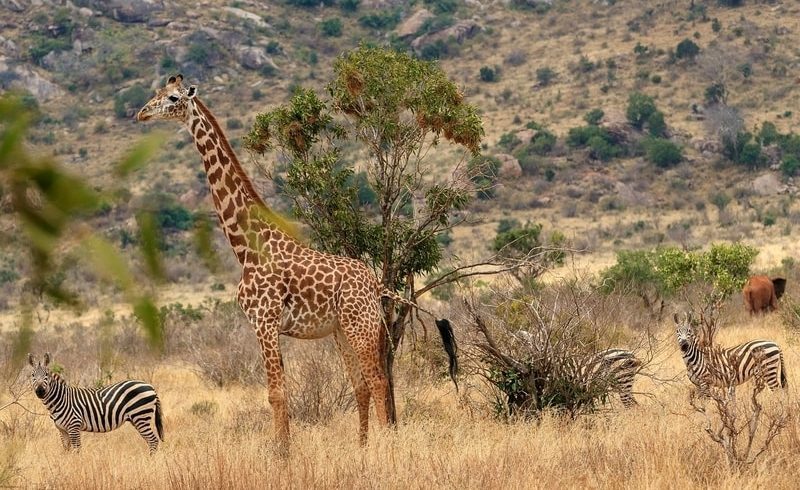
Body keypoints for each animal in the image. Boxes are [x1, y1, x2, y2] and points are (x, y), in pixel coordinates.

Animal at [27, 352, 164, 452]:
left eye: (46, 375)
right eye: (33, 375)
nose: (40, 391)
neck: (60, 399)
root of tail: (151, 386)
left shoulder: (74, 426)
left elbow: (77, 450)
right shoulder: (62, 430)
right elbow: (66, 450)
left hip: (141, 416)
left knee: (153, 440)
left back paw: (151, 463)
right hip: (137, 419)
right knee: (150, 441)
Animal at [138, 74, 396, 454]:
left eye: (172, 98)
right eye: (156, 92)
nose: (141, 113)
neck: (246, 247)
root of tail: (375, 283)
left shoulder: (264, 321)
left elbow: (276, 393)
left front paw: (282, 455)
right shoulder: (266, 325)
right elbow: (279, 392)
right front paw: (285, 450)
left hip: (360, 325)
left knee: (378, 381)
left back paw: (383, 447)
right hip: (341, 330)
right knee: (362, 384)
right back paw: (361, 448)